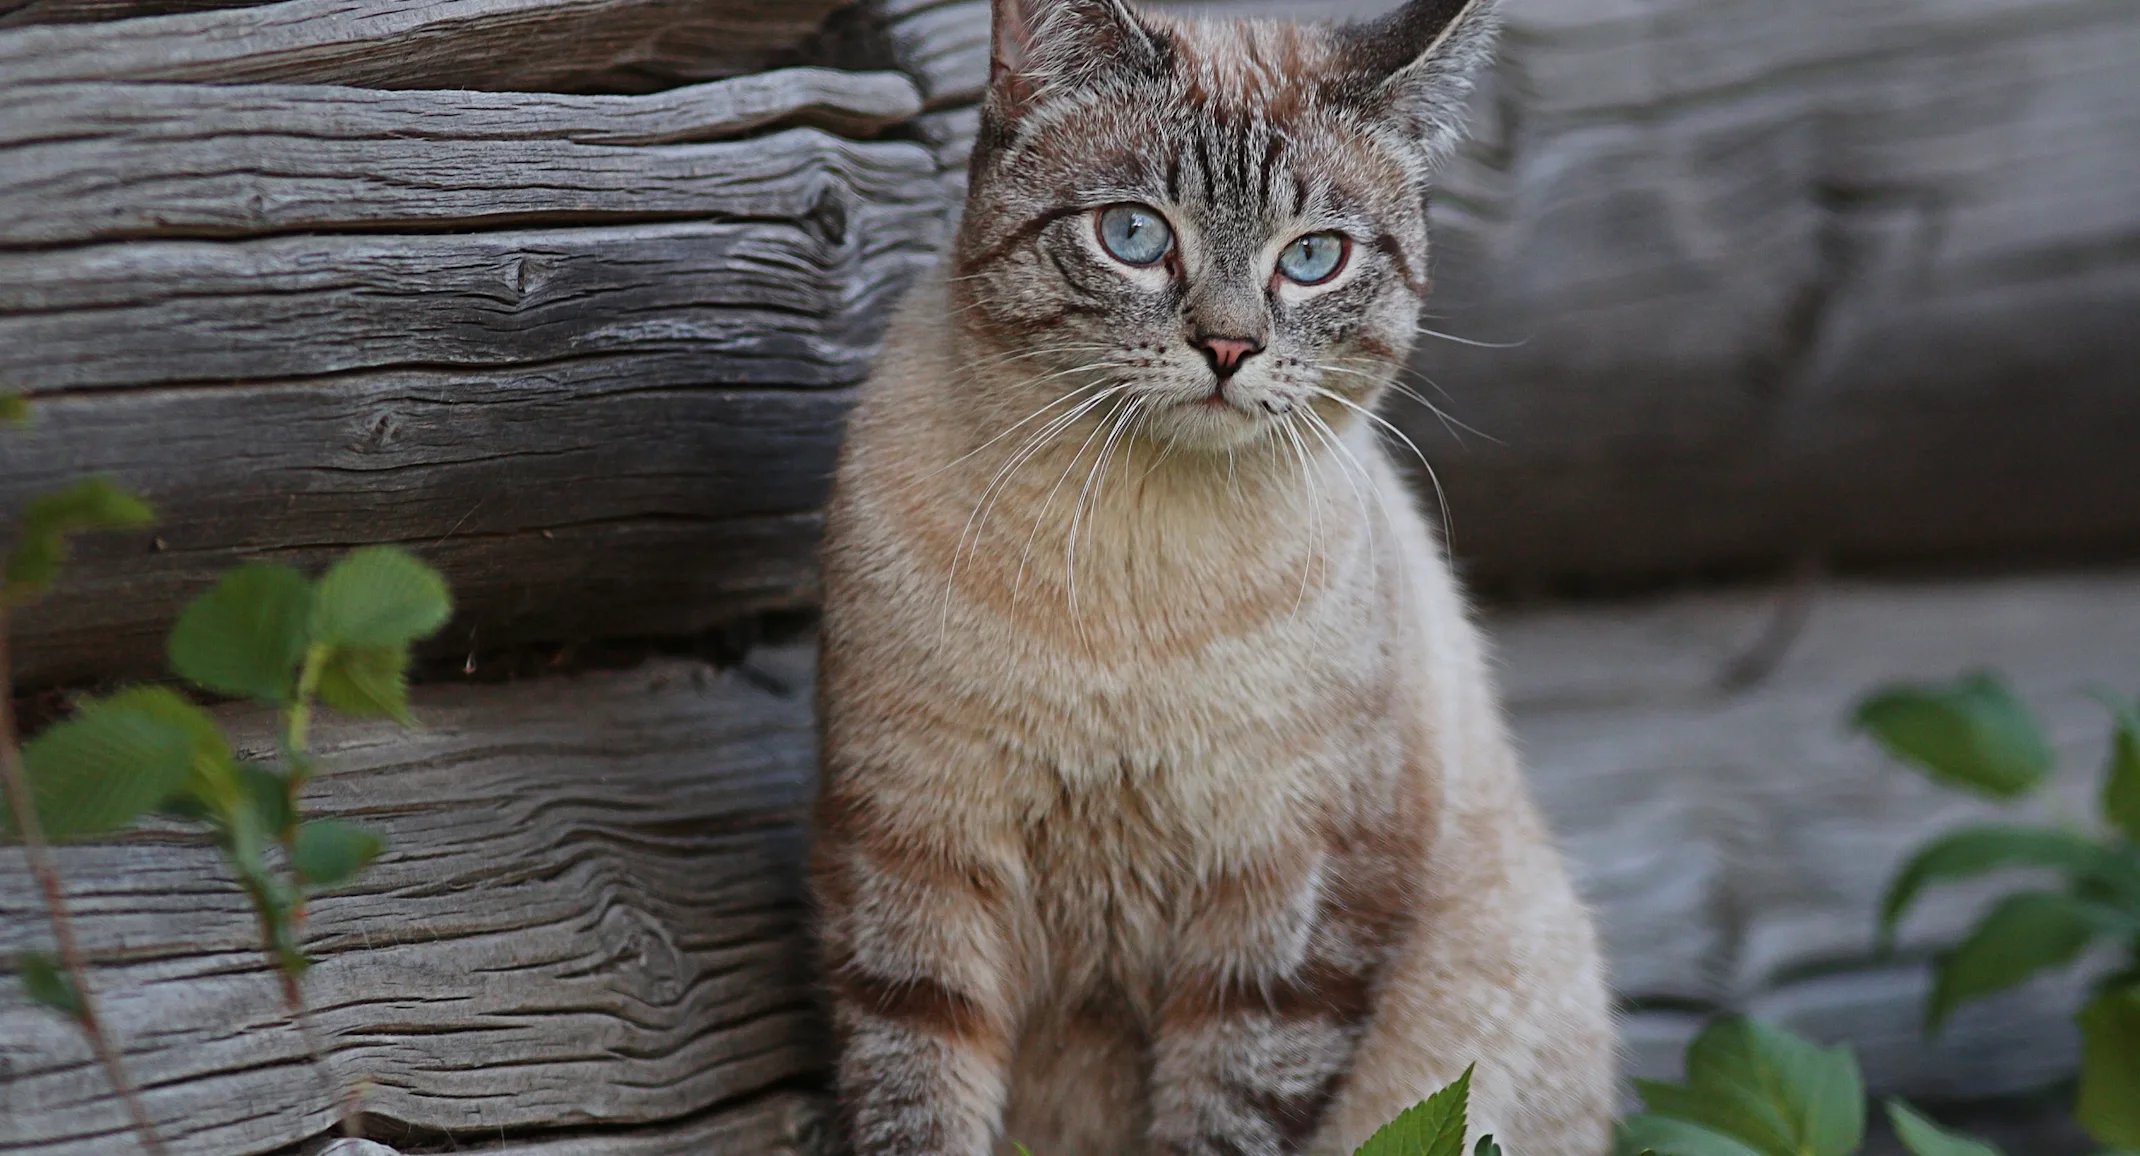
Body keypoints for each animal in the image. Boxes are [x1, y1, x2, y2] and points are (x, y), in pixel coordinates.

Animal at [808, 0, 1609, 1147]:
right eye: (1136, 237)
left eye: (1312, 258)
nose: (1229, 348)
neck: (1133, 569)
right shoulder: (915, 862)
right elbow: (917, 1107)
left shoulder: (1284, 922)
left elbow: (1225, 1114)